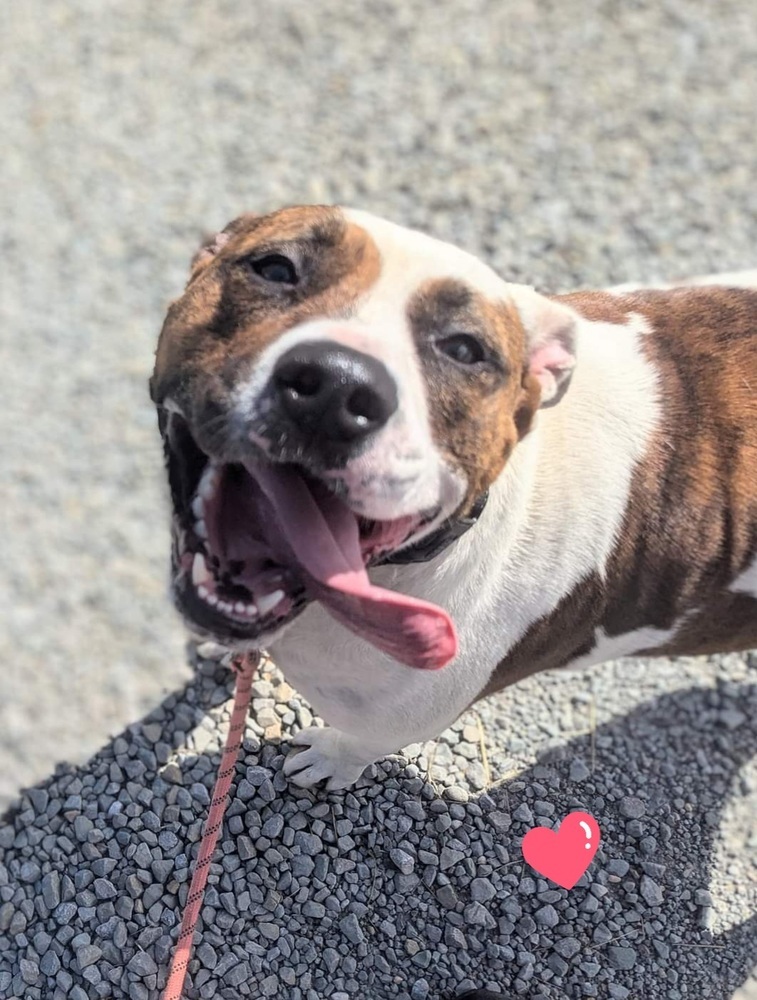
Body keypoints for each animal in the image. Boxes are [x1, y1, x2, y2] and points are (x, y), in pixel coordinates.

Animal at [151, 207, 756, 792]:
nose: (337, 385)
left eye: (466, 349)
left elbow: (359, 746)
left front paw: (328, 760)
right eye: (276, 268)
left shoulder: (400, 722)